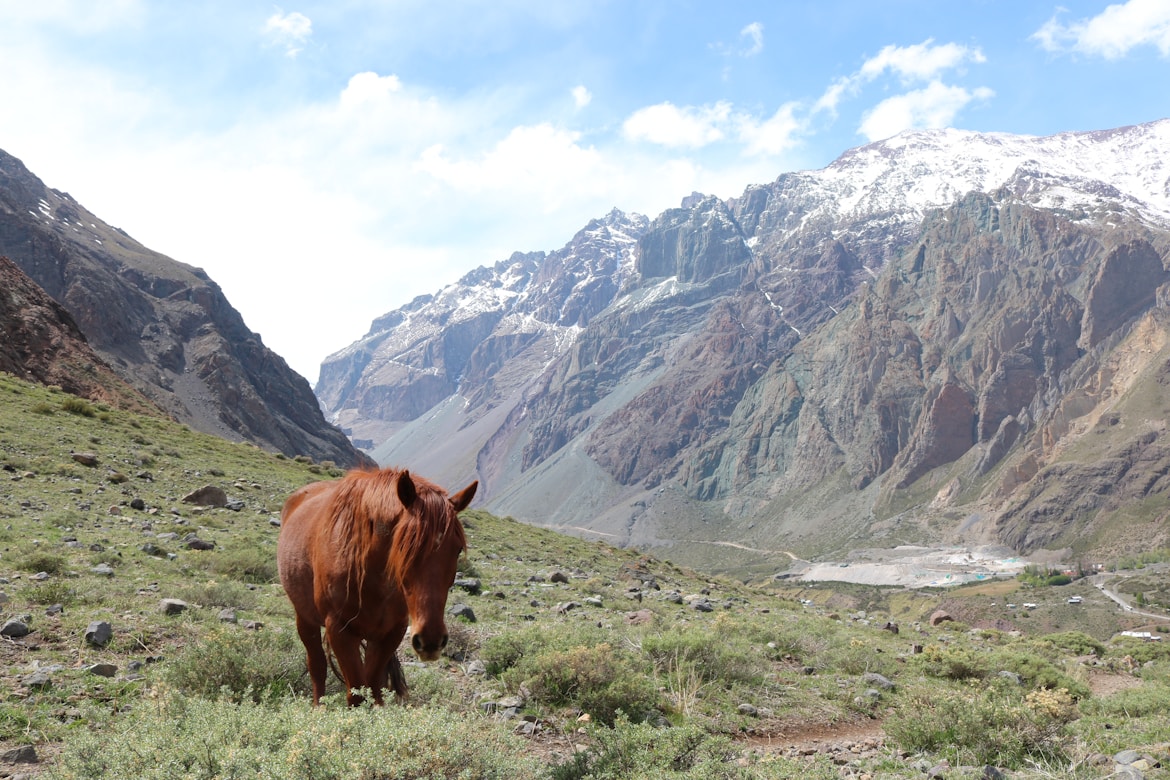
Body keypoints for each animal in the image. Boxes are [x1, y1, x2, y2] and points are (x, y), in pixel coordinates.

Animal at [277, 470, 475, 706]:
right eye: (404, 547)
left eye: (457, 550)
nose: (431, 641)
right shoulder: (339, 630)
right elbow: (356, 693)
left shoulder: (390, 632)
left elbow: (374, 688)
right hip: (305, 619)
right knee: (317, 666)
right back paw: (319, 707)